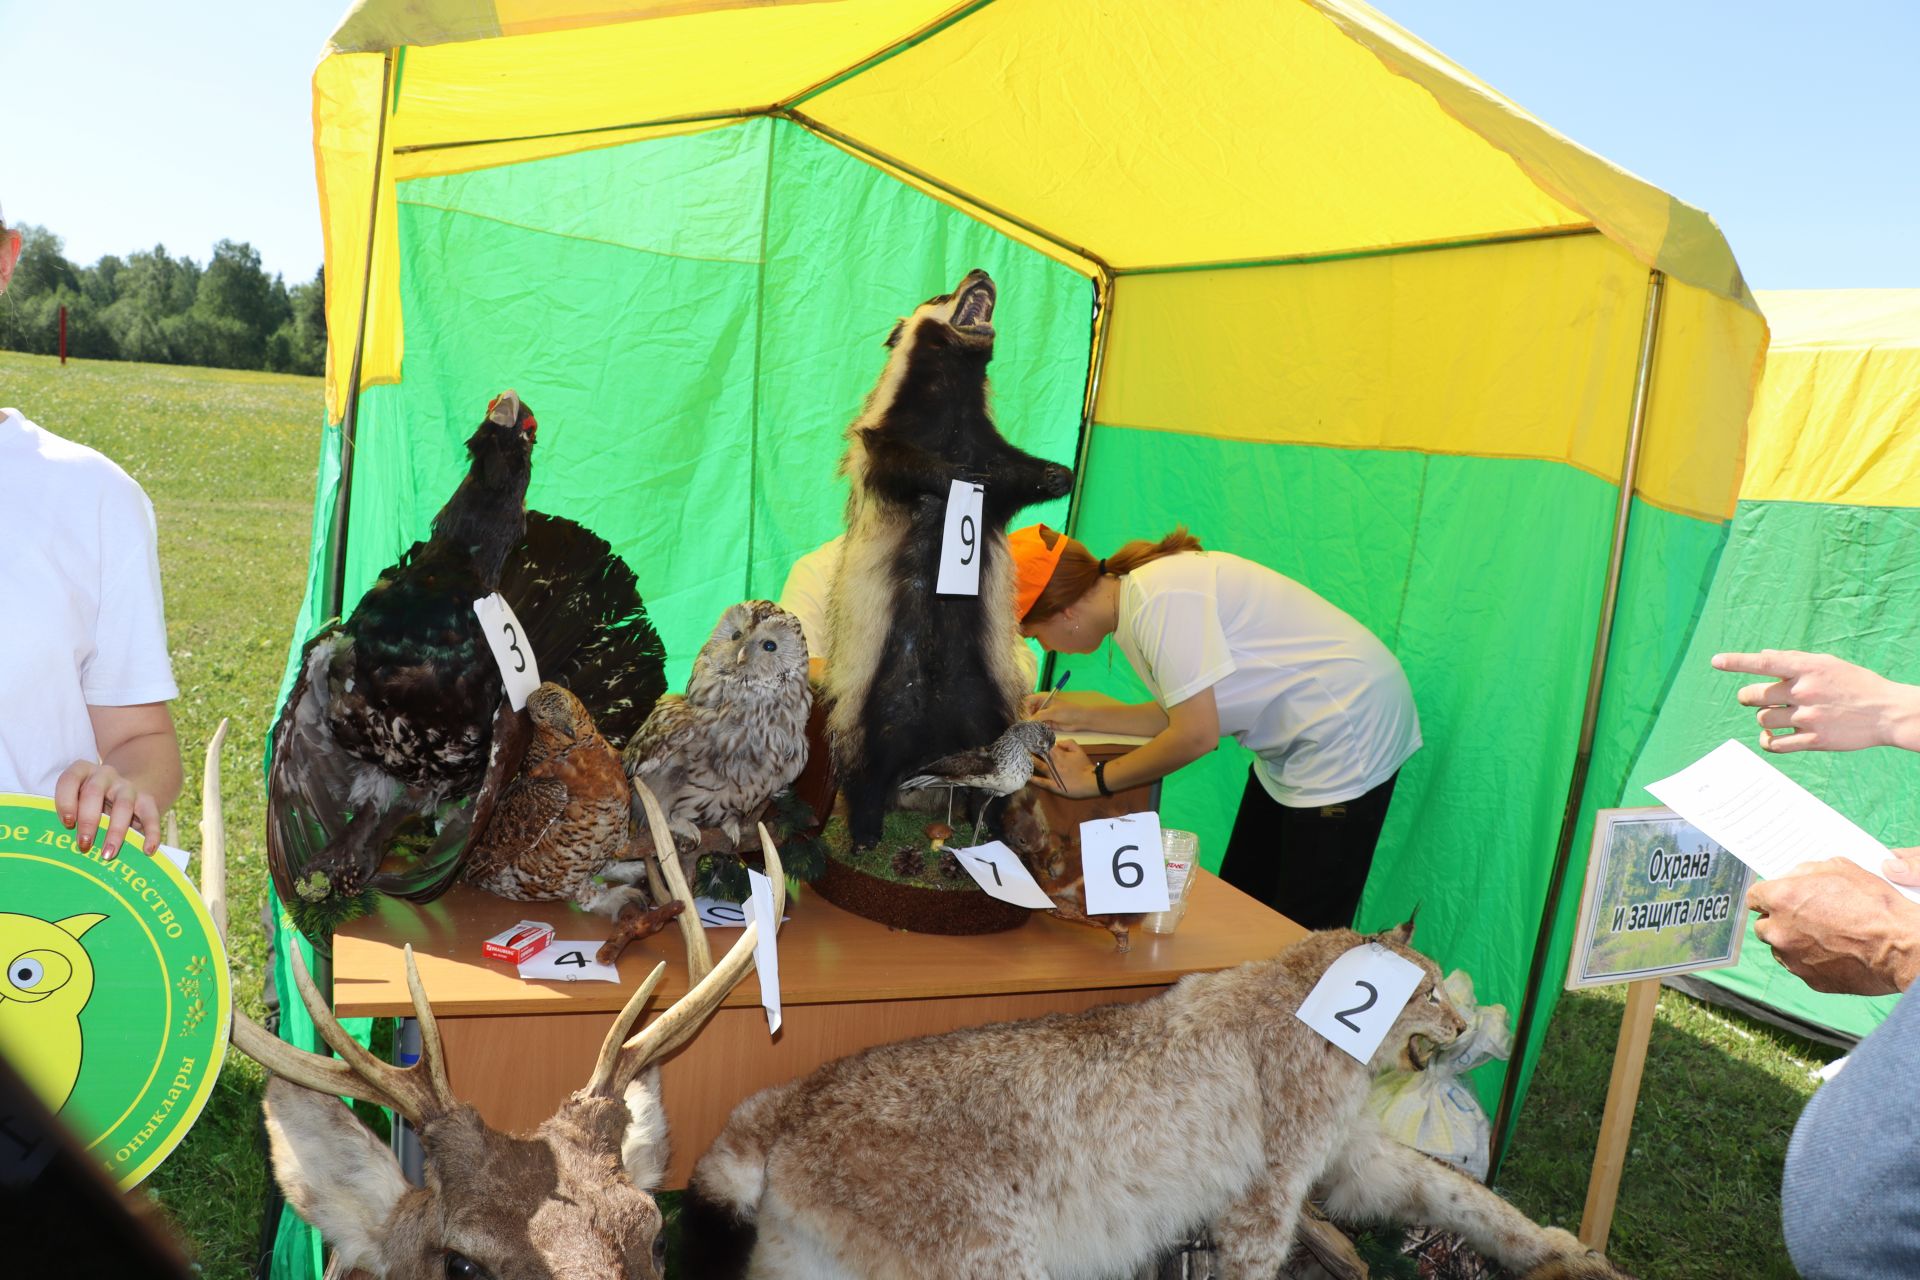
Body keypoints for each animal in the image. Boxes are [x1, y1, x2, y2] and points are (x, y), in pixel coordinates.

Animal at [687, 932, 1635, 1280]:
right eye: (1431, 993)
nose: (1467, 1022)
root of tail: (790, 1101)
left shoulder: (1351, 1160)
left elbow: (1456, 1191)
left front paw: (1558, 1249)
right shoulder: (1267, 1194)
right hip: (993, 1259)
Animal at [821, 270, 1075, 852]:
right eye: (939, 295)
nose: (980, 272)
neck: (952, 407)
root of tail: (931, 750)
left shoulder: (993, 452)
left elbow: (1018, 475)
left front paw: (1060, 473)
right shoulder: (884, 439)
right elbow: (900, 463)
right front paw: (945, 474)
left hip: (987, 707)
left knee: (995, 771)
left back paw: (997, 831)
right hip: (879, 701)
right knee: (869, 768)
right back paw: (865, 833)